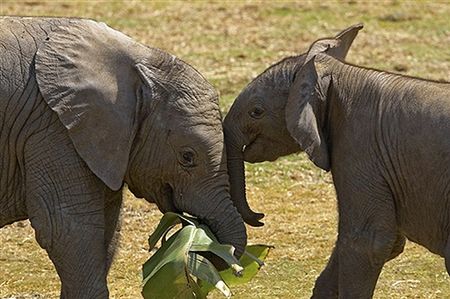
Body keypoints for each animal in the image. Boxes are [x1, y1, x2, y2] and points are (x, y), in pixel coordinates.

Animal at [0, 17, 246, 298]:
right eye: (187, 157)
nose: (202, 243)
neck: (138, 61)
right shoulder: (52, 130)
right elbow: (67, 229)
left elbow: (108, 225)